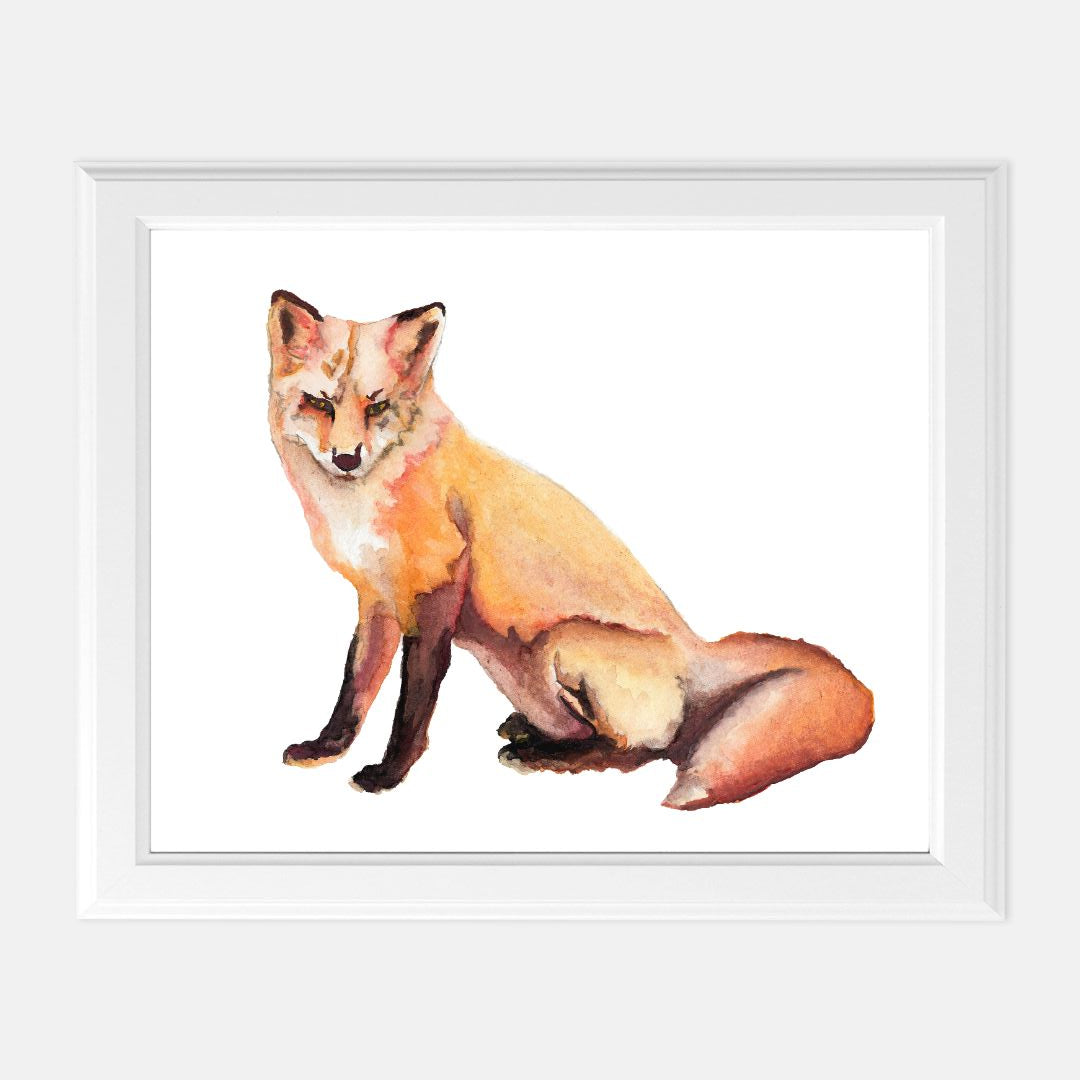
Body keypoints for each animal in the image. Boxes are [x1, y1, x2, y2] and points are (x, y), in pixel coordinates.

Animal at [266, 291, 874, 810]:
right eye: (319, 403)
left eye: (378, 407)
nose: (347, 458)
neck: (363, 506)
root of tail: (697, 648)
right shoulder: (379, 600)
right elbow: (354, 687)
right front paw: (327, 748)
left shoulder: (436, 596)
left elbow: (410, 708)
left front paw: (388, 775)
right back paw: (530, 733)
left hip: (562, 642)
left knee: (642, 750)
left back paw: (542, 756)